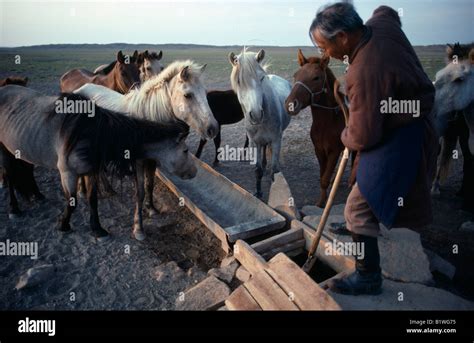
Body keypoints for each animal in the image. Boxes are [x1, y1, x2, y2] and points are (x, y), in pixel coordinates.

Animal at [75, 60, 218, 241]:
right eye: (188, 95)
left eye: (205, 93)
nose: (213, 129)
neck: (148, 122)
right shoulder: (138, 162)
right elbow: (140, 192)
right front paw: (138, 228)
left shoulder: (153, 160)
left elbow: (150, 185)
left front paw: (152, 209)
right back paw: (82, 191)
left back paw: (107, 189)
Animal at [228, 48, 290, 199]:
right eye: (239, 81)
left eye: (261, 78)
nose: (256, 115)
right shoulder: (254, 142)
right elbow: (257, 170)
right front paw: (258, 192)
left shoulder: (276, 140)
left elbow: (275, 171)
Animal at [286, 49, 348, 208]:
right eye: (295, 75)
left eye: (316, 77)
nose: (290, 104)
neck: (326, 124)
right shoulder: (319, 150)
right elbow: (322, 176)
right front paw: (320, 201)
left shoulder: (334, 152)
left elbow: (325, 178)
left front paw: (323, 203)